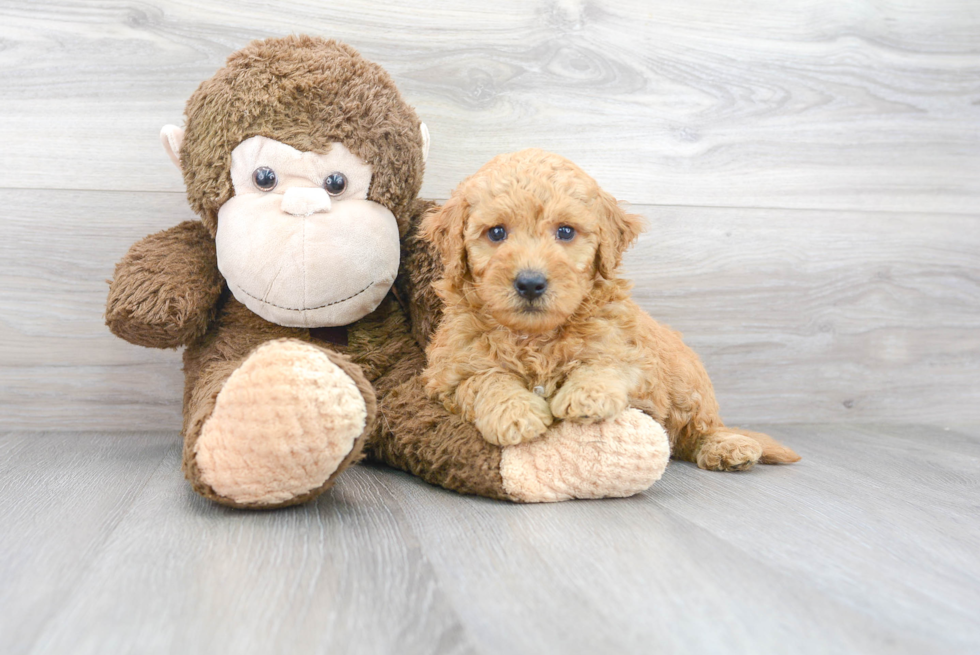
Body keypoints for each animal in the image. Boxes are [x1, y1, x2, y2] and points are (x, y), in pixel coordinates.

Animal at [420, 150, 796, 472]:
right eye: (496, 233)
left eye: (565, 231)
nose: (530, 283)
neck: (536, 338)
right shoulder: (449, 373)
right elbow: (486, 379)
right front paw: (515, 413)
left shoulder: (634, 354)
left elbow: (605, 362)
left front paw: (587, 396)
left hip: (688, 385)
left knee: (695, 431)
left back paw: (727, 447)